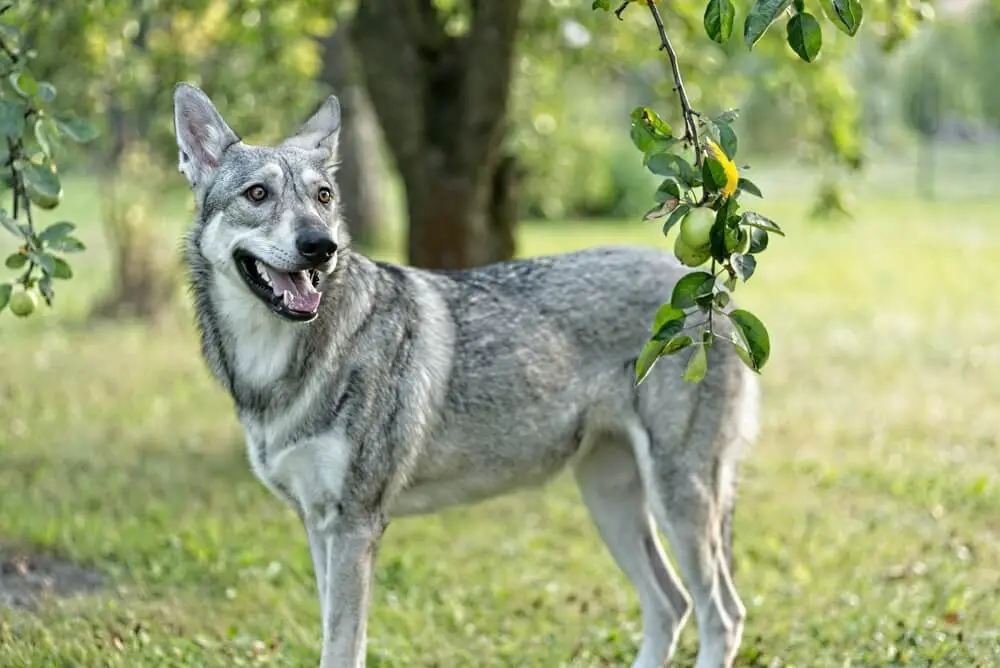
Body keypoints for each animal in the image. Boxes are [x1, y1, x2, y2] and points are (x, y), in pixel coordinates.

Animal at [176, 83, 760, 668]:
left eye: (322, 197)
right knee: (671, 603)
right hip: (612, 500)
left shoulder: (355, 526)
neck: (272, 369)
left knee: (722, 615)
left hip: (676, 499)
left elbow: (341, 649)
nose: (321, 246)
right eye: (257, 194)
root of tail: (713, 292)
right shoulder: (319, 524)